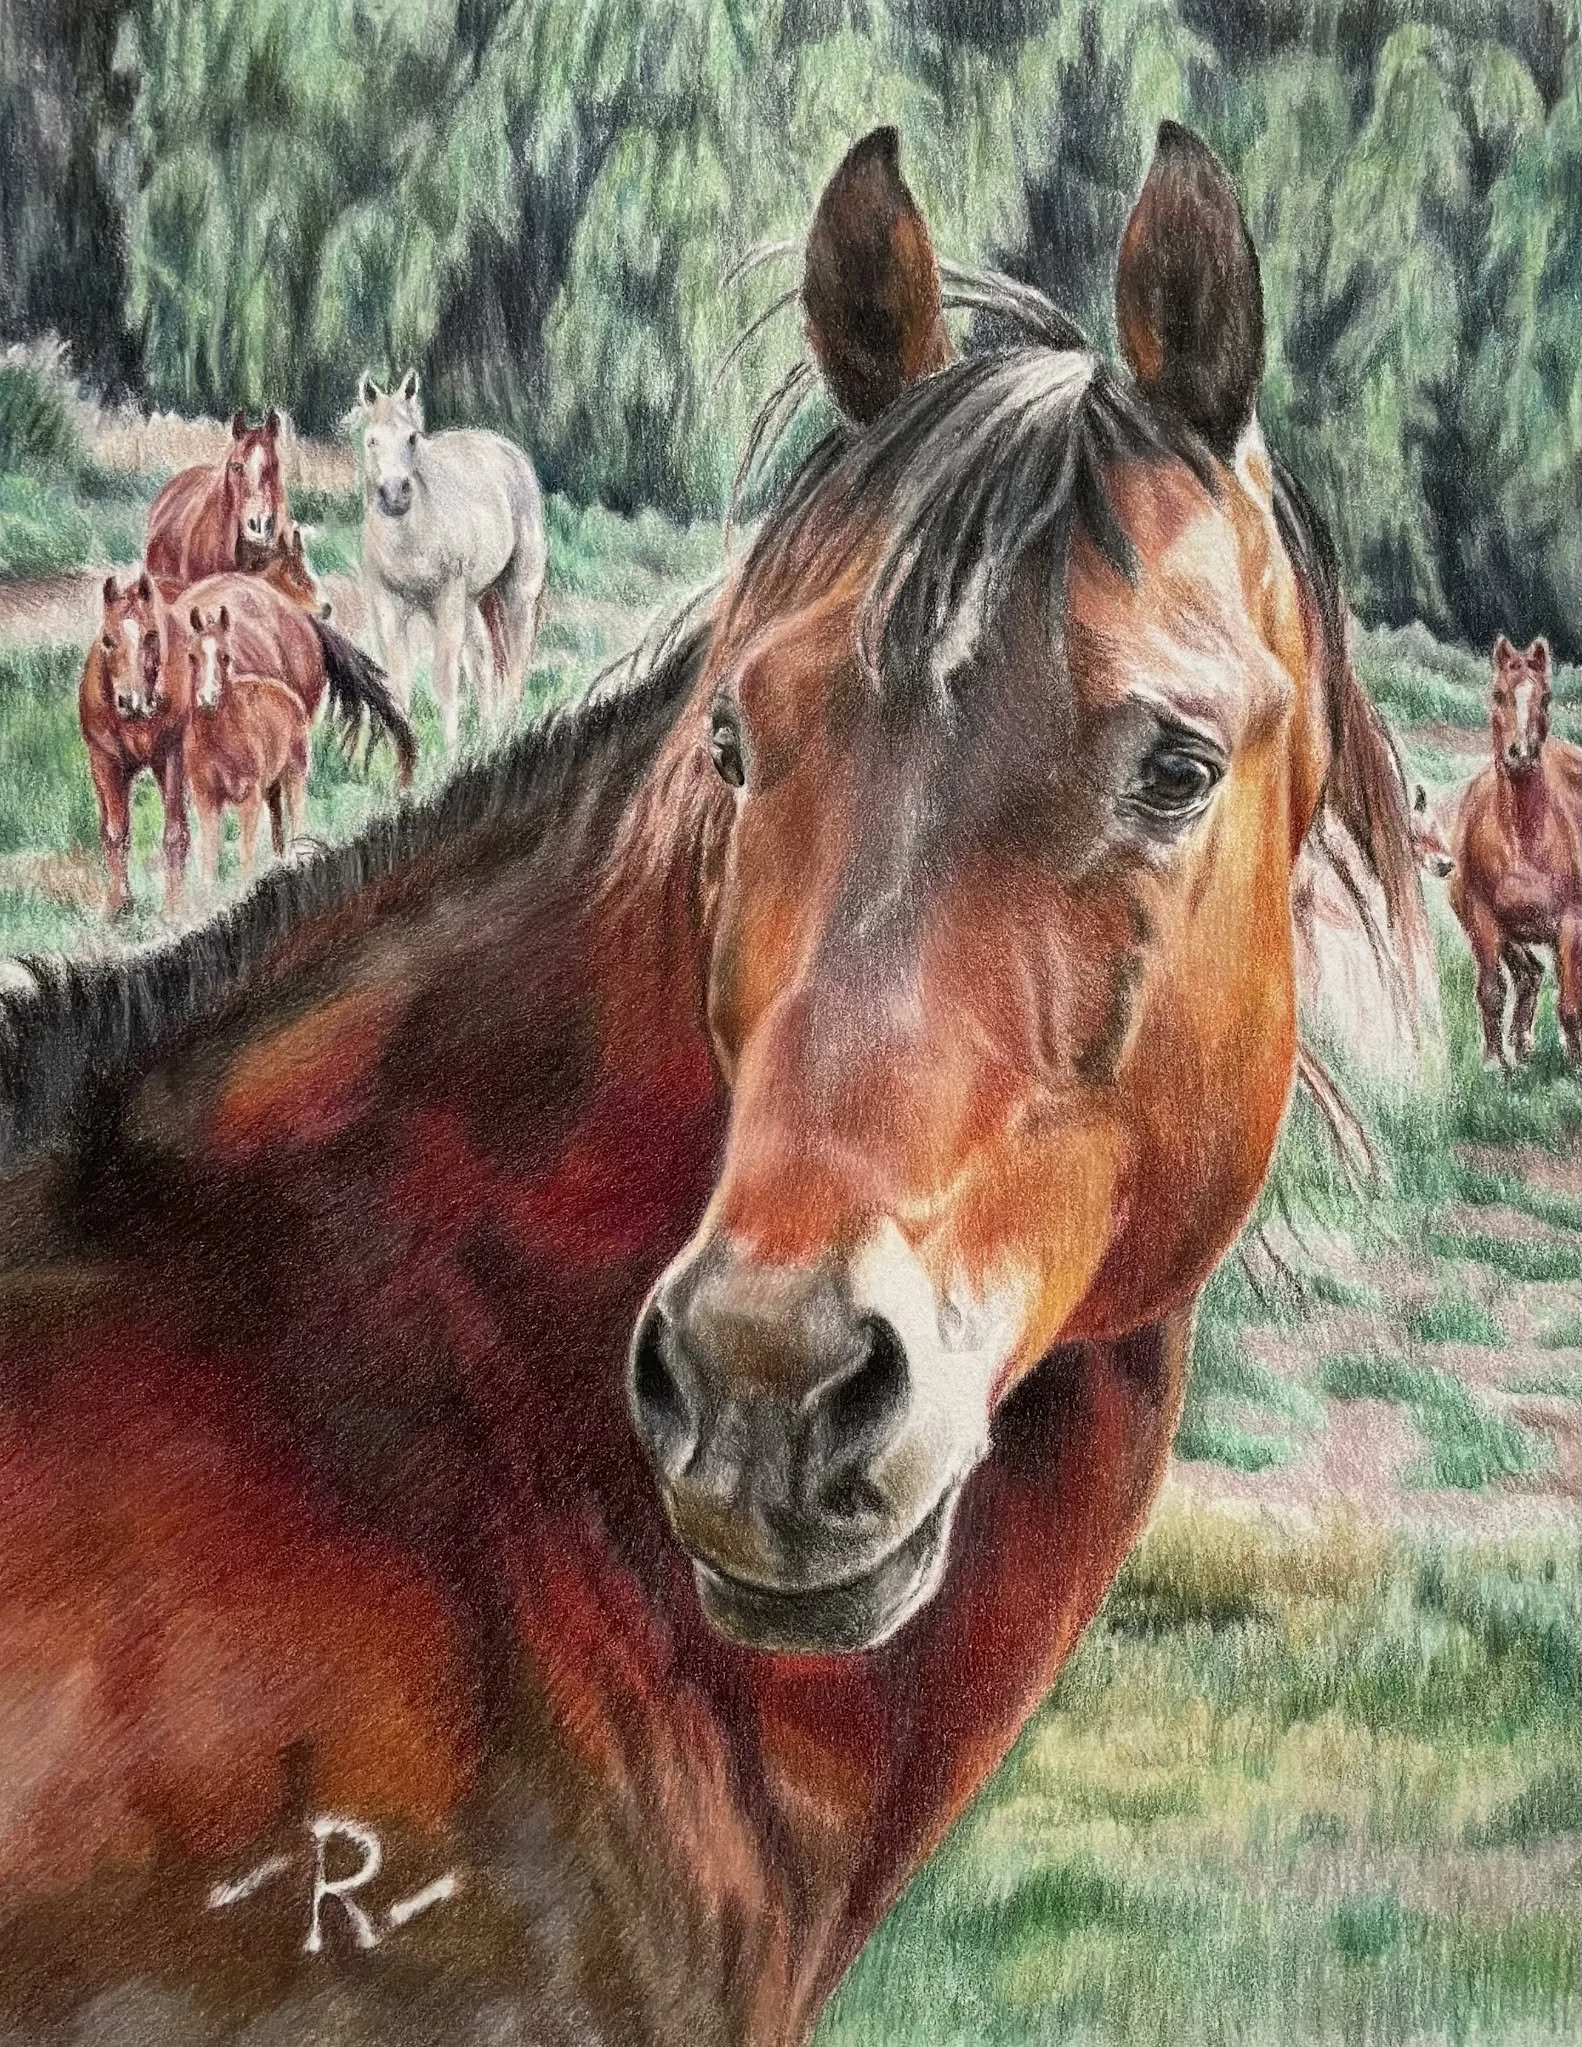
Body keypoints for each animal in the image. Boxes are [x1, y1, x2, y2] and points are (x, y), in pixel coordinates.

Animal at [76, 570, 194, 917]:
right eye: (107, 640)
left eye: (152, 635)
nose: (132, 701)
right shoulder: (107, 763)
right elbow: (116, 832)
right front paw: (119, 906)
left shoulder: (171, 757)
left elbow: (174, 833)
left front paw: (173, 908)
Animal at [183, 604, 311, 883]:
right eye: (192, 657)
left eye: (225, 656)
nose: (207, 699)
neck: (216, 740)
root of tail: (284, 690)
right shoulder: (206, 799)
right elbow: (210, 858)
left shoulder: (248, 797)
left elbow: (245, 856)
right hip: (271, 786)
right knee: (277, 818)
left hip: (294, 772)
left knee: (296, 814)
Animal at [358, 369, 547, 750]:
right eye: (372, 440)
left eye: (412, 438)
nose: (395, 495)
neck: (409, 536)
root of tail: (505, 448)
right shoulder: (387, 602)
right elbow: (399, 677)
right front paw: (402, 753)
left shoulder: (446, 597)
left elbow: (445, 675)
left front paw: (449, 750)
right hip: (471, 600)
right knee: (483, 659)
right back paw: (488, 735)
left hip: (516, 591)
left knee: (516, 659)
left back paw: (508, 731)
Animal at [1449, 635, 1581, 1066]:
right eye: (1498, 693)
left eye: (1546, 697)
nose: (1520, 754)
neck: (1521, 839)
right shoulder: (1484, 921)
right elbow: (1491, 991)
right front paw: (1495, 1062)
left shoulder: (1571, 924)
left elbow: (1570, 1003)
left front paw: (1575, 1063)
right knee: (1530, 974)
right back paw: (1521, 1044)